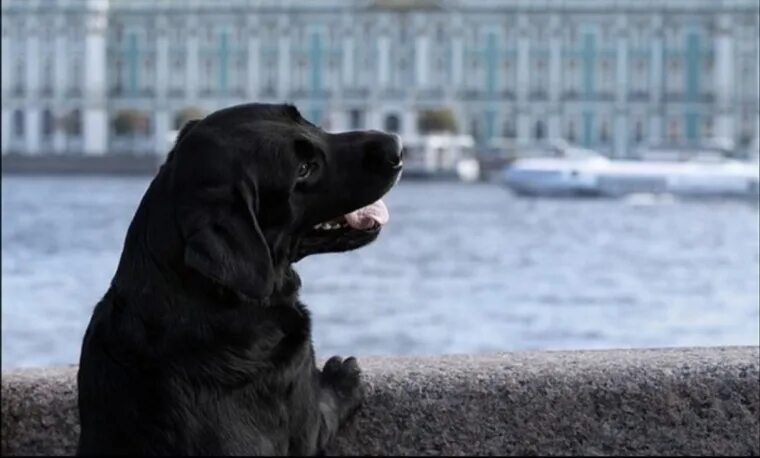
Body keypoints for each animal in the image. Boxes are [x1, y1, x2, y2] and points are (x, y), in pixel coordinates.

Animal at [77, 104, 404, 454]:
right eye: (303, 169)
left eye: (305, 120)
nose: (396, 147)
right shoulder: (306, 420)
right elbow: (329, 404)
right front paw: (341, 375)